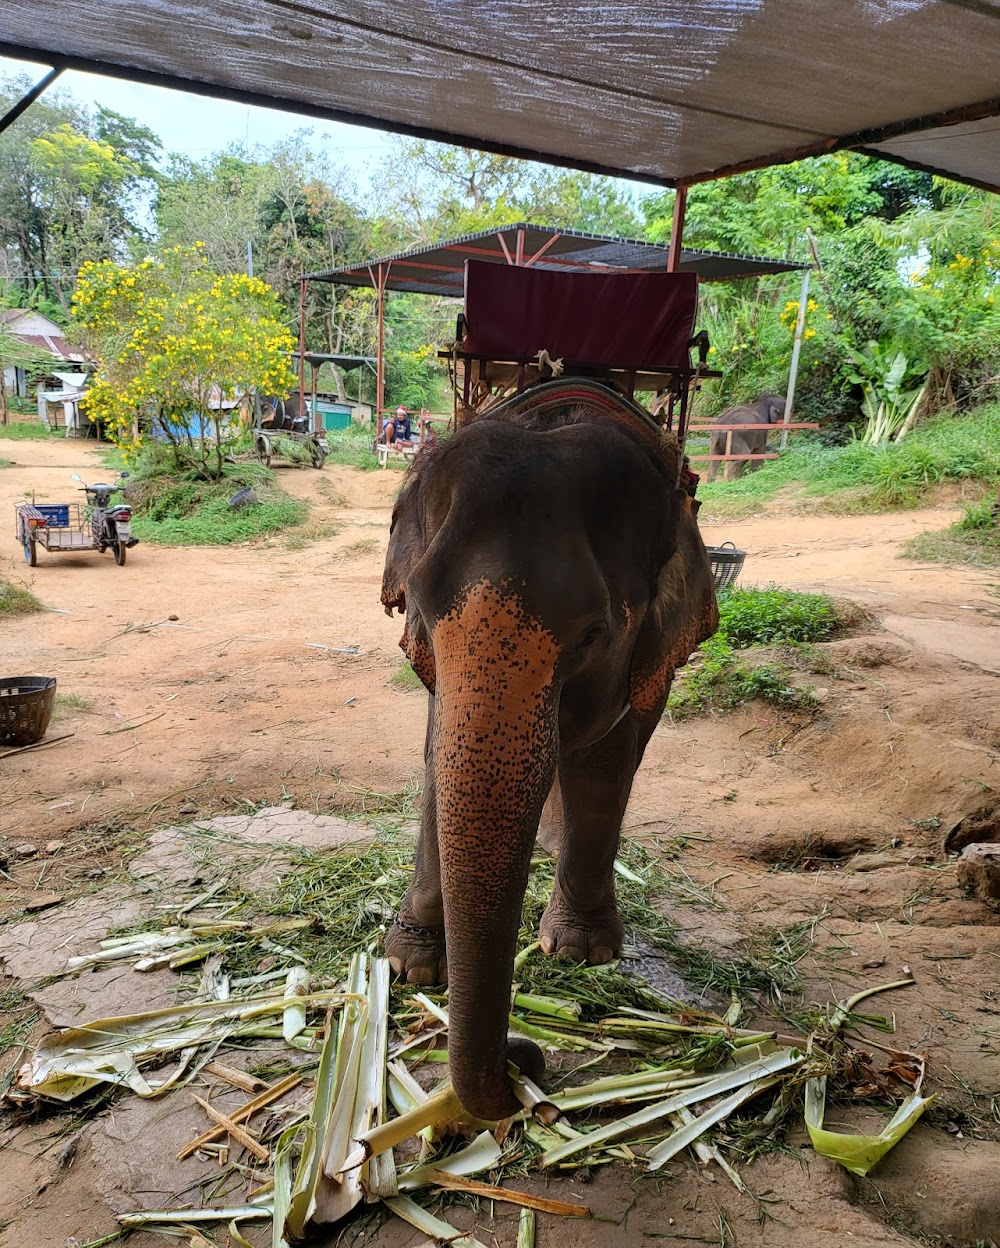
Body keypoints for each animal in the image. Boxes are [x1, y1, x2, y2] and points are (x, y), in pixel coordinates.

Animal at [377, 379, 719, 1123]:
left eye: (593, 633)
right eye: (417, 607)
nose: (527, 1059)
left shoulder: (646, 657)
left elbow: (605, 760)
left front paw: (580, 953)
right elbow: (435, 758)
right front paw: (411, 966)